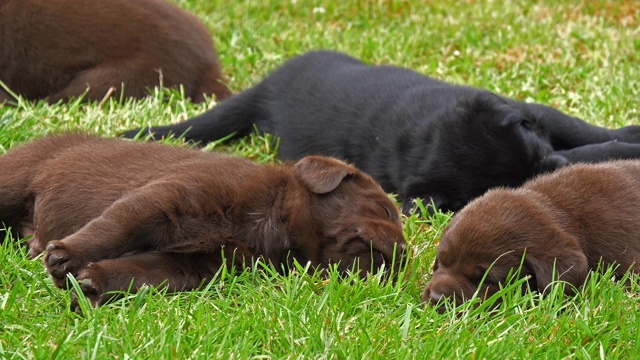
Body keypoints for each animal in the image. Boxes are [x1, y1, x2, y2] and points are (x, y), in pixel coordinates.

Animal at [0, 134, 404, 306]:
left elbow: (142, 269)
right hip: (16, 179)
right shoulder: (167, 197)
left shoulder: (199, 262)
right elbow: (115, 226)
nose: (402, 257)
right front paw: (67, 257)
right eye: (385, 210)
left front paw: (92, 284)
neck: (272, 222)